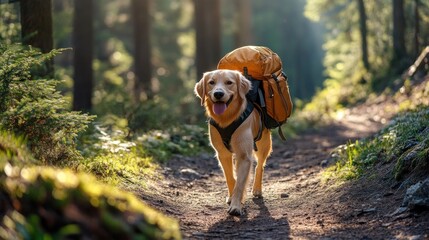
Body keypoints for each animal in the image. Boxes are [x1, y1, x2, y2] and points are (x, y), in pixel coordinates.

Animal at [194, 69, 270, 216]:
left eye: (229, 82)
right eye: (211, 82)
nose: (218, 94)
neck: (226, 118)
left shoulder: (244, 155)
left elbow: (240, 183)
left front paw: (236, 206)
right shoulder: (222, 153)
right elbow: (230, 178)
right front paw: (233, 197)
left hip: (264, 143)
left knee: (260, 166)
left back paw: (257, 189)